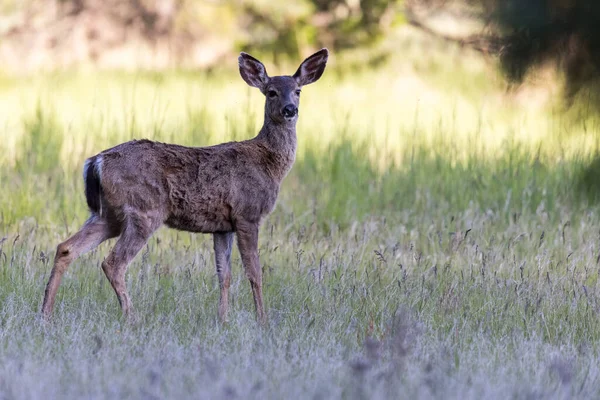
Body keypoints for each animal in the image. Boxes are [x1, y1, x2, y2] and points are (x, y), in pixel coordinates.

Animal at [39, 48, 330, 324]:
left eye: (298, 91)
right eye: (271, 92)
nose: (290, 109)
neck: (270, 163)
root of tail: (96, 161)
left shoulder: (223, 226)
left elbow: (224, 275)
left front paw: (223, 319)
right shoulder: (248, 214)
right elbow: (254, 272)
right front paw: (262, 321)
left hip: (108, 214)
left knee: (66, 248)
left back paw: (45, 314)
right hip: (144, 210)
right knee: (113, 263)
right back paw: (132, 318)